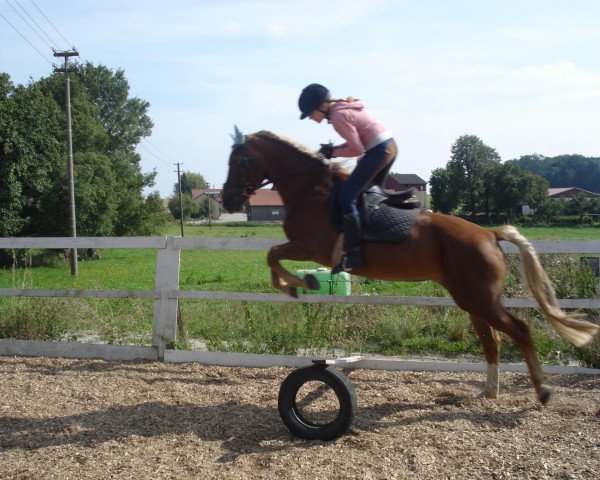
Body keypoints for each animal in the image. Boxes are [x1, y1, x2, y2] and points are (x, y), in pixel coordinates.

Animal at [223, 129, 596, 404]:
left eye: (238, 161)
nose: (227, 199)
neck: (310, 190)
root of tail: (489, 234)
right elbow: (272, 255)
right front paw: (294, 285)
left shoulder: (312, 248)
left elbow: (272, 254)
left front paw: (298, 284)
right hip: (474, 300)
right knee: (493, 341)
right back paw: (487, 392)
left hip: (480, 300)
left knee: (519, 331)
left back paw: (542, 390)